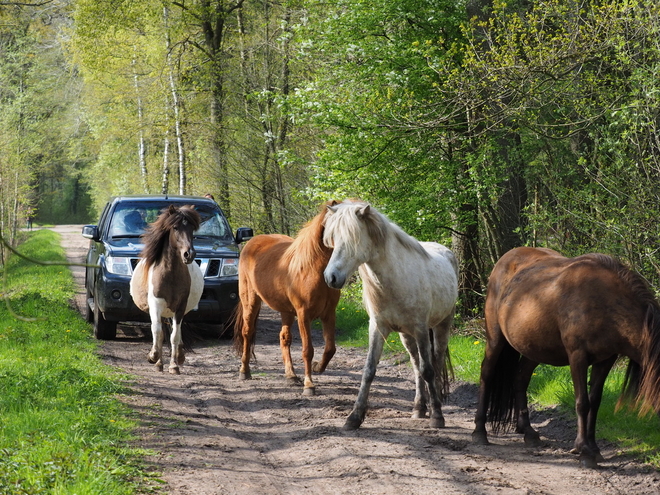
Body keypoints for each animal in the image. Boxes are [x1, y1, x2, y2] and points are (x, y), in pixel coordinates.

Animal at [127, 206, 202, 376]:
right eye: (175, 227)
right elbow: (157, 332)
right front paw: (153, 356)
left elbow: (174, 336)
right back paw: (158, 363)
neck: (170, 274)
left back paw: (178, 356)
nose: (189, 254)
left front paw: (174, 366)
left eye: (192, 228)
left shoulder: (180, 307)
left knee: (175, 333)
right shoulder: (156, 305)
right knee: (160, 333)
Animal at [233, 200, 340, 398]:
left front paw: (318, 367)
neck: (312, 268)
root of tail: (251, 243)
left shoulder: (329, 313)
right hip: (251, 302)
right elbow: (307, 350)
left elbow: (330, 348)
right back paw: (244, 371)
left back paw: (291, 375)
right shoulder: (304, 314)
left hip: (286, 310)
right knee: (247, 332)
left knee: (284, 338)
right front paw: (309, 385)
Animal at [320, 201, 456, 430]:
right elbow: (369, 370)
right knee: (416, 365)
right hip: (406, 335)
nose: (331, 277)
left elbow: (428, 370)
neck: (395, 279)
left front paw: (437, 416)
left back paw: (433, 406)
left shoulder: (421, 328)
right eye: (334, 240)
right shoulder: (378, 327)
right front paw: (354, 417)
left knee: (435, 363)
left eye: (353, 239)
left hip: (441, 326)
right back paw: (419, 408)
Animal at [472, 248, 660, 468]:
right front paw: (584, 450)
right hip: (495, 339)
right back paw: (479, 432)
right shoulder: (577, 356)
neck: (604, 300)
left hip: (533, 348)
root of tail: (505, 258)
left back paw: (529, 432)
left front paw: (594, 448)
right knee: (487, 374)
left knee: (519, 379)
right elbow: (582, 403)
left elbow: (595, 402)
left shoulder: (606, 359)